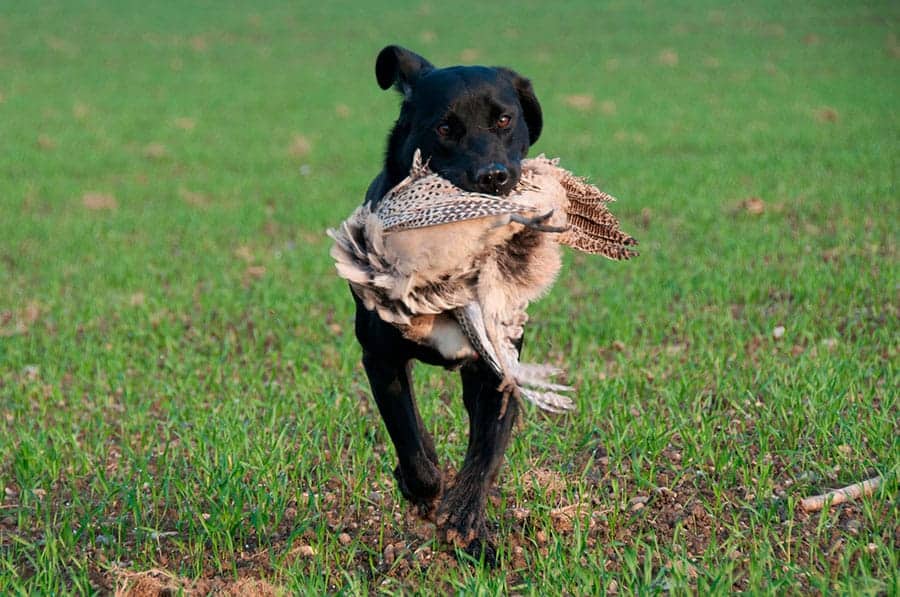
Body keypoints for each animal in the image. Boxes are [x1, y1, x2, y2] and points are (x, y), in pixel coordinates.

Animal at [352, 44, 540, 560]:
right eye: (444, 128)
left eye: (504, 120)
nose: (493, 177)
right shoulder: (381, 359)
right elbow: (409, 438)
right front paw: (425, 490)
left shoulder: (499, 371)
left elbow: (485, 453)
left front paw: (466, 521)